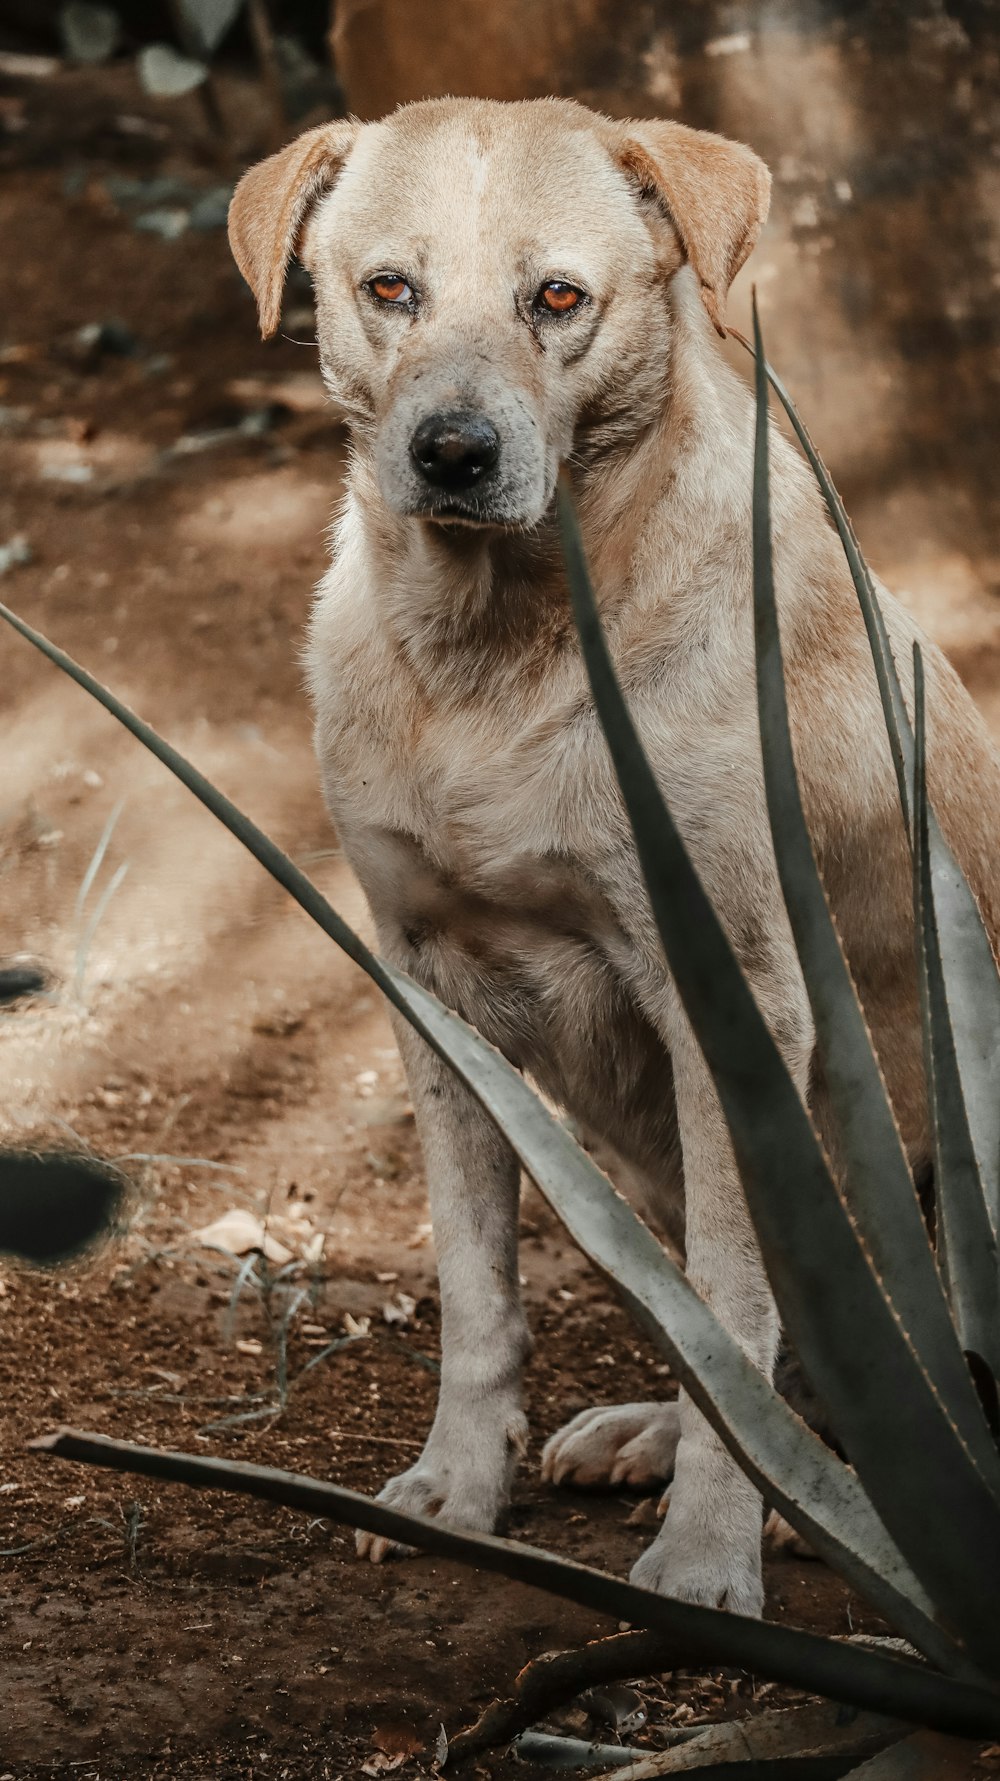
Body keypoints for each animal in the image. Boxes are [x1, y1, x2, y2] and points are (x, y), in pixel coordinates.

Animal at [229, 97, 998, 1617]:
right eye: (386, 288)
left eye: (558, 299)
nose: (452, 453)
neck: (494, 655)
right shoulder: (430, 994)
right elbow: (481, 1296)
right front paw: (458, 1491)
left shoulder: (738, 1015)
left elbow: (735, 1310)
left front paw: (705, 1557)